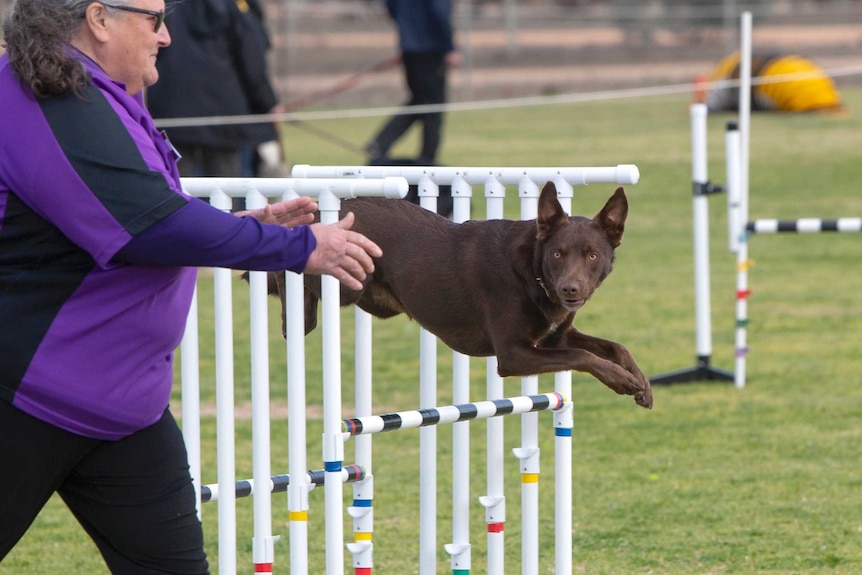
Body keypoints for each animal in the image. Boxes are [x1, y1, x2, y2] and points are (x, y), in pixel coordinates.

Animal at [276, 182, 656, 408]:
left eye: (592, 255)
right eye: (558, 254)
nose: (570, 289)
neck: (532, 275)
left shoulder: (553, 338)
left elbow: (613, 347)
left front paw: (642, 384)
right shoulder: (514, 355)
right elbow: (583, 355)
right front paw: (623, 381)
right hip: (347, 283)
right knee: (293, 256)